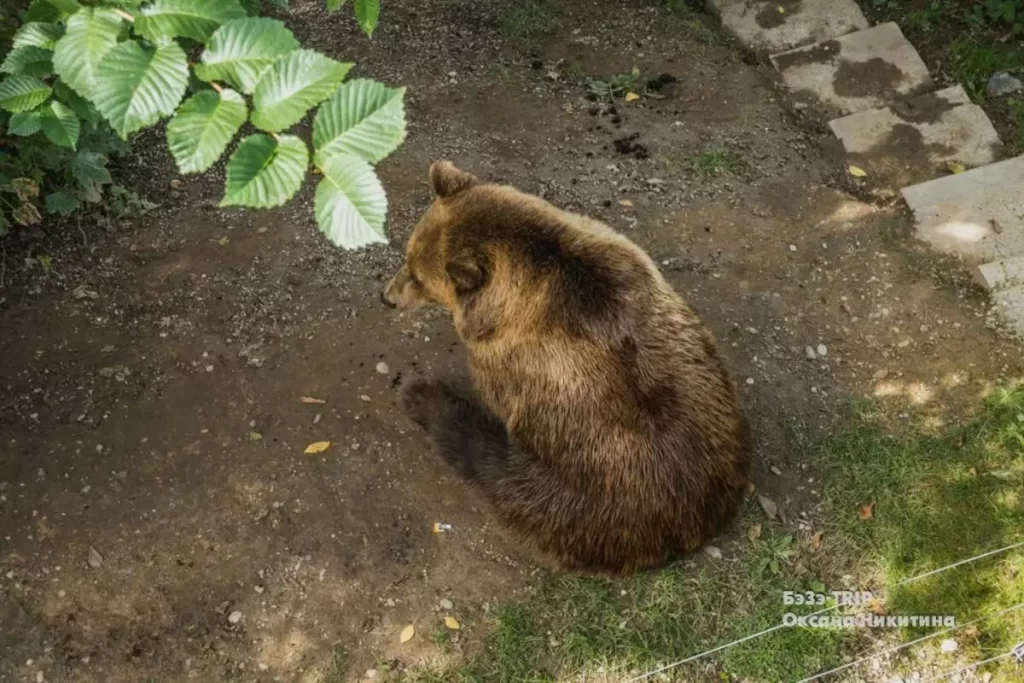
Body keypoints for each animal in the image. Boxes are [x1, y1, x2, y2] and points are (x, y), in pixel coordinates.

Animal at [382, 160, 752, 576]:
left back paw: (423, 397)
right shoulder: (622, 253)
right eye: (408, 255)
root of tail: (695, 521)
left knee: (496, 470)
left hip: (583, 498)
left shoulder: (510, 363)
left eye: (419, 278)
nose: (387, 297)